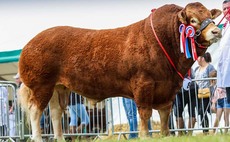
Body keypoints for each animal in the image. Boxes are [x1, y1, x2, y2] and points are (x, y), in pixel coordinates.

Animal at [18, 1, 221, 141]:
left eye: (210, 16)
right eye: (193, 20)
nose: (216, 31)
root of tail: (30, 43)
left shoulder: (169, 88)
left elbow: (164, 115)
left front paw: (165, 135)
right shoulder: (143, 84)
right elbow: (145, 114)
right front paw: (144, 136)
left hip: (59, 87)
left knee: (55, 114)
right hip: (41, 85)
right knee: (35, 112)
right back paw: (37, 138)